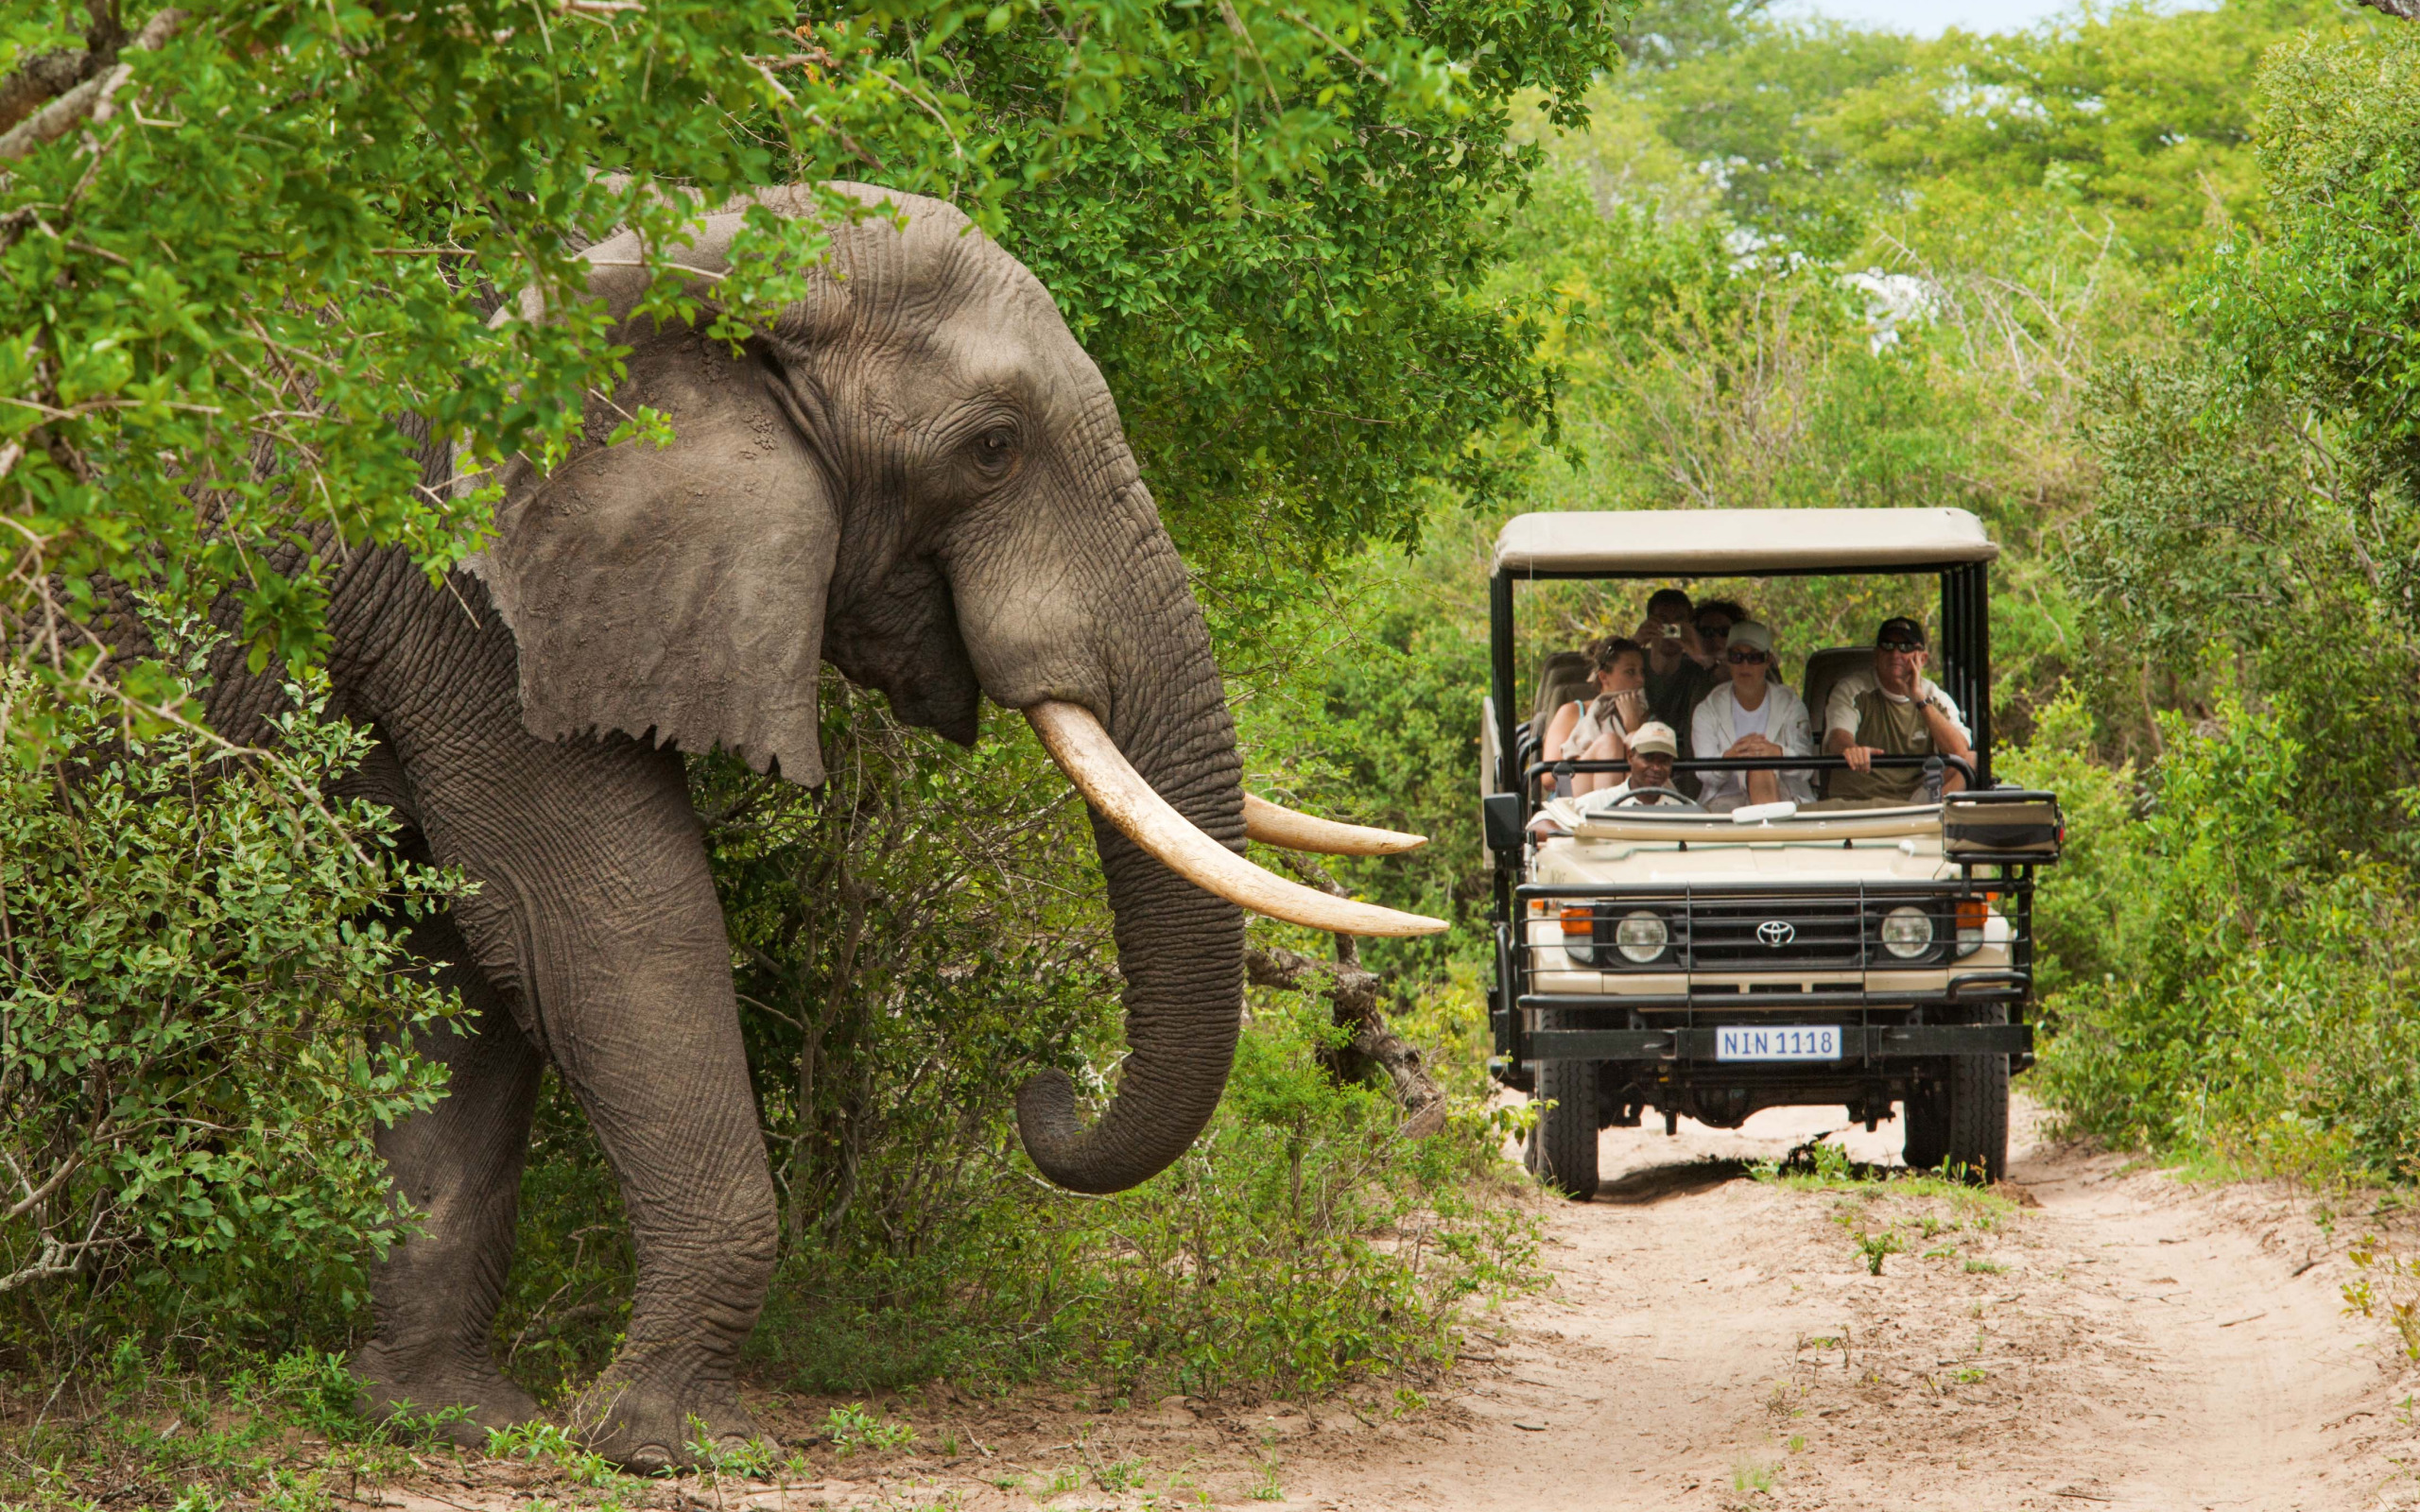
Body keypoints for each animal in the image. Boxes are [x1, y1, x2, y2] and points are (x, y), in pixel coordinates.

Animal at [188, 182, 1442, 1470]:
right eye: (992, 449)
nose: (1044, 1086)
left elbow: (476, 955)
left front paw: (450, 1419)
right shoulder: (462, 592)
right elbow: (602, 921)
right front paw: (663, 1443)